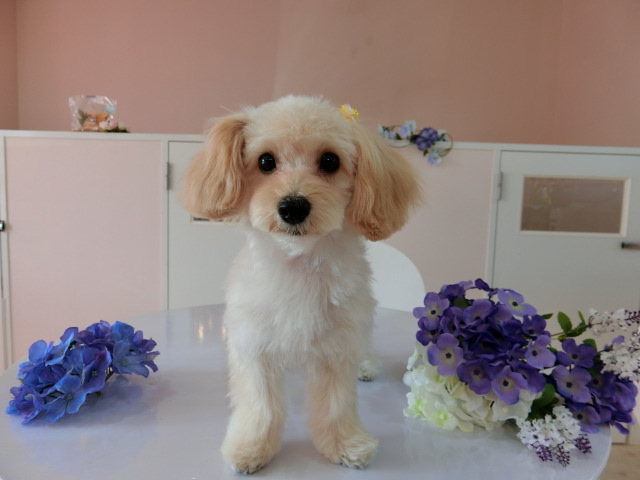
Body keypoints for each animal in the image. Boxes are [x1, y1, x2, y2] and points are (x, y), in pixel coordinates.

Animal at [182, 95, 421, 473]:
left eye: (330, 161)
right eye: (265, 161)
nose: (293, 207)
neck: (300, 265)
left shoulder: (339, 346)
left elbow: (337, 404)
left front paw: (345, 444)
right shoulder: (255, 345)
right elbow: (260, 404)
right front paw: (251, 446)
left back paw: (366, 365)